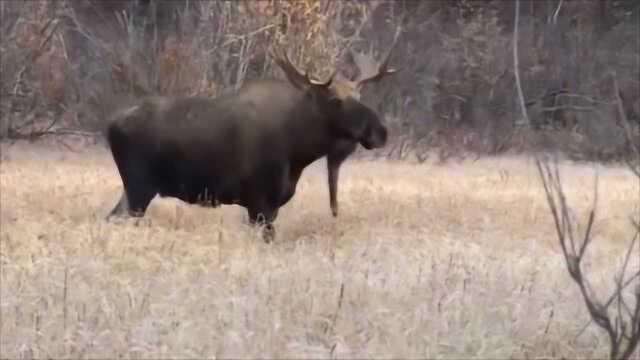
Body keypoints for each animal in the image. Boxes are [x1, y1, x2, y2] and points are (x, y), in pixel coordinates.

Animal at [107, 39, 398, 242]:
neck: (298, 150)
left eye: (359, 96)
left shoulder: (271, 204)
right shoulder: (259, 201)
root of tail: (110, 125)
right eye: (336, 100)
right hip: (139, 186)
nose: (381, 131)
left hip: (135, 189)